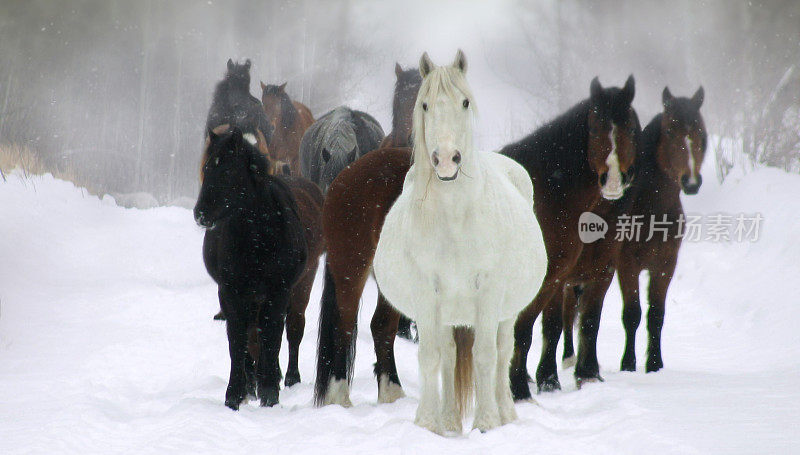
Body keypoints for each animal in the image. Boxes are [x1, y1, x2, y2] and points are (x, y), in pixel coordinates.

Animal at [194, 125, 306, 410]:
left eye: (227, 171)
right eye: (207, 167)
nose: (200, 213)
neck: (257, 238)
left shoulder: (278, 292)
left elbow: (271, 337)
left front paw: (269, 394)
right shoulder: (231, 292)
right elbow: (237, 340)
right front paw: (235, 395)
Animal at [372, 50, 548, 434]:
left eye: (465, 102)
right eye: (424, 105)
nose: (446, 160)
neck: (456, 217)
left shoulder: (490, 291)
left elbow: (485, 355)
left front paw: (487, 422)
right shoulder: (427, 292)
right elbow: (432, 356)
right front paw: (428, 423)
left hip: (505, 312)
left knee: (502, 351)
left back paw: (505, 413)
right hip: (447, 311)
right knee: (449, 354)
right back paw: (450, 420)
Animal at [504, 75, 640, 400]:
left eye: (630, 127)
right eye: (594, 128)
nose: (613, 181)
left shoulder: (593, 272)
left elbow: (587, 322)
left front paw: (586, 375)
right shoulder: (547, 279)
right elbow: (528, 330)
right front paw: (521, 389)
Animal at [564, 87, 708, 380]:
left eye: (700, 132)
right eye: (670, 131)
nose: (691, 182)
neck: (653, 207)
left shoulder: (665, 266)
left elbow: (656, 315)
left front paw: (654, 364)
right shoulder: (626, 265)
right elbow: (632, 314)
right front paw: (628, 364)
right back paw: (569, 359)